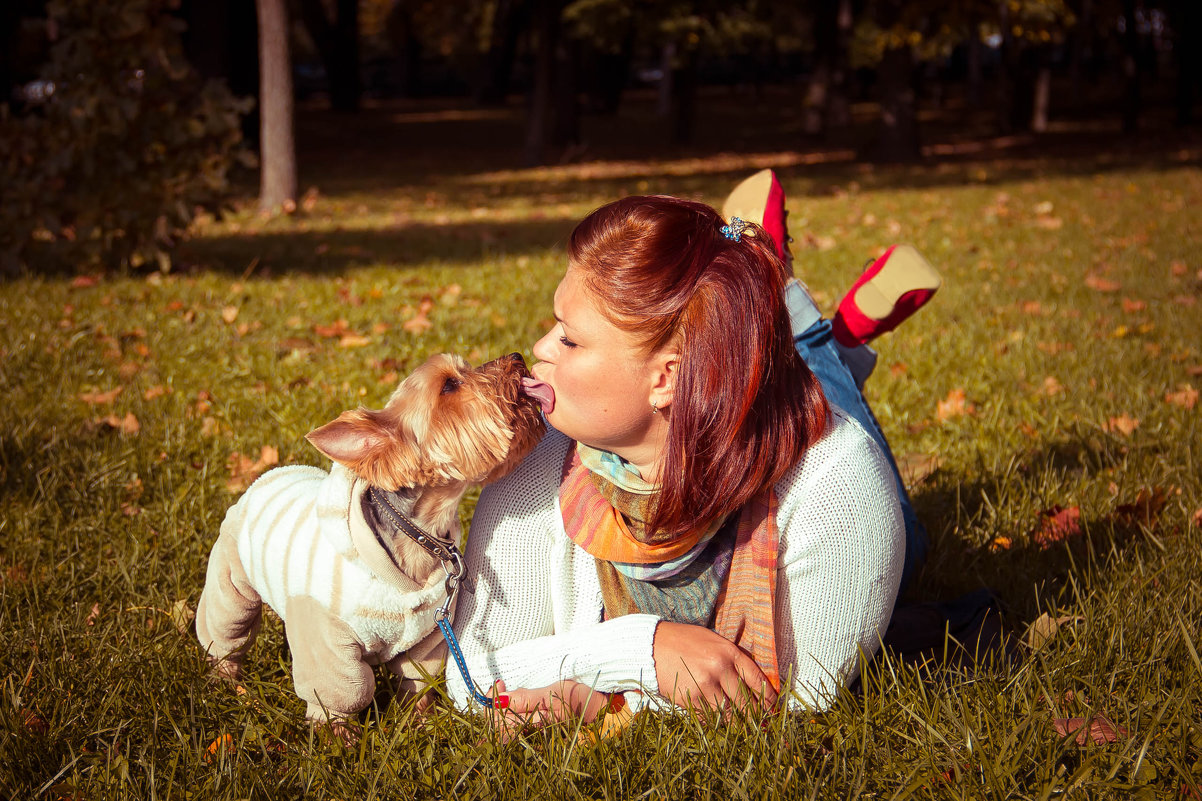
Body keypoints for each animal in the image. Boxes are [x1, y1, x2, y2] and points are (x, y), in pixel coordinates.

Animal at [195, 348, 545, 721]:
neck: (419, 534)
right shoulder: (327, 638)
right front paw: (337, 732)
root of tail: (265, 477)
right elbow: (341, 691)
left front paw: (420, 720)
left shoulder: (427, 635)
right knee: (225, 632)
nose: (517, 356)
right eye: (449, 385)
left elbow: (418, 679)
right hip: (231, 580)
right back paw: (224, 684)